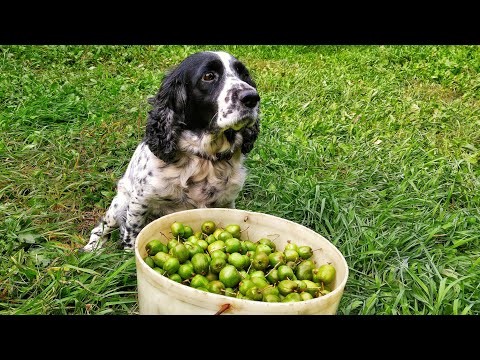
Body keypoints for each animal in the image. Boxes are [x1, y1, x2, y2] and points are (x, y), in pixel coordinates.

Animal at [83, 50, 262, 252]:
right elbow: (132, 233)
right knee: (102, 226)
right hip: (120, 203)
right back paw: (92, 248)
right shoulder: (140, 200)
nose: (252, 97)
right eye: (208, 76)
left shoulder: (227, 200)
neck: (205, 157)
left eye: (243, 74)